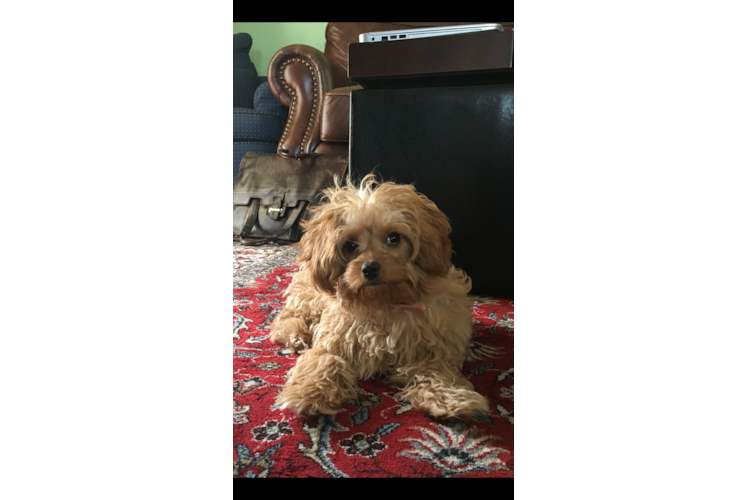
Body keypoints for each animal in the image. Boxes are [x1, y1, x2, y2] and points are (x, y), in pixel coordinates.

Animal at [268, 174, 490, 420]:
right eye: (350, 245)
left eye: (394, 238)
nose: (370, 268)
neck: (384, 301)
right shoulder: (333, 338)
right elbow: (324, 359)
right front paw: (309, 392)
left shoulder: (431, 348)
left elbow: (435, 371)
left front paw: (449, 399)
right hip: (310, 296)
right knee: (284, 318)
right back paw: (297, 335)